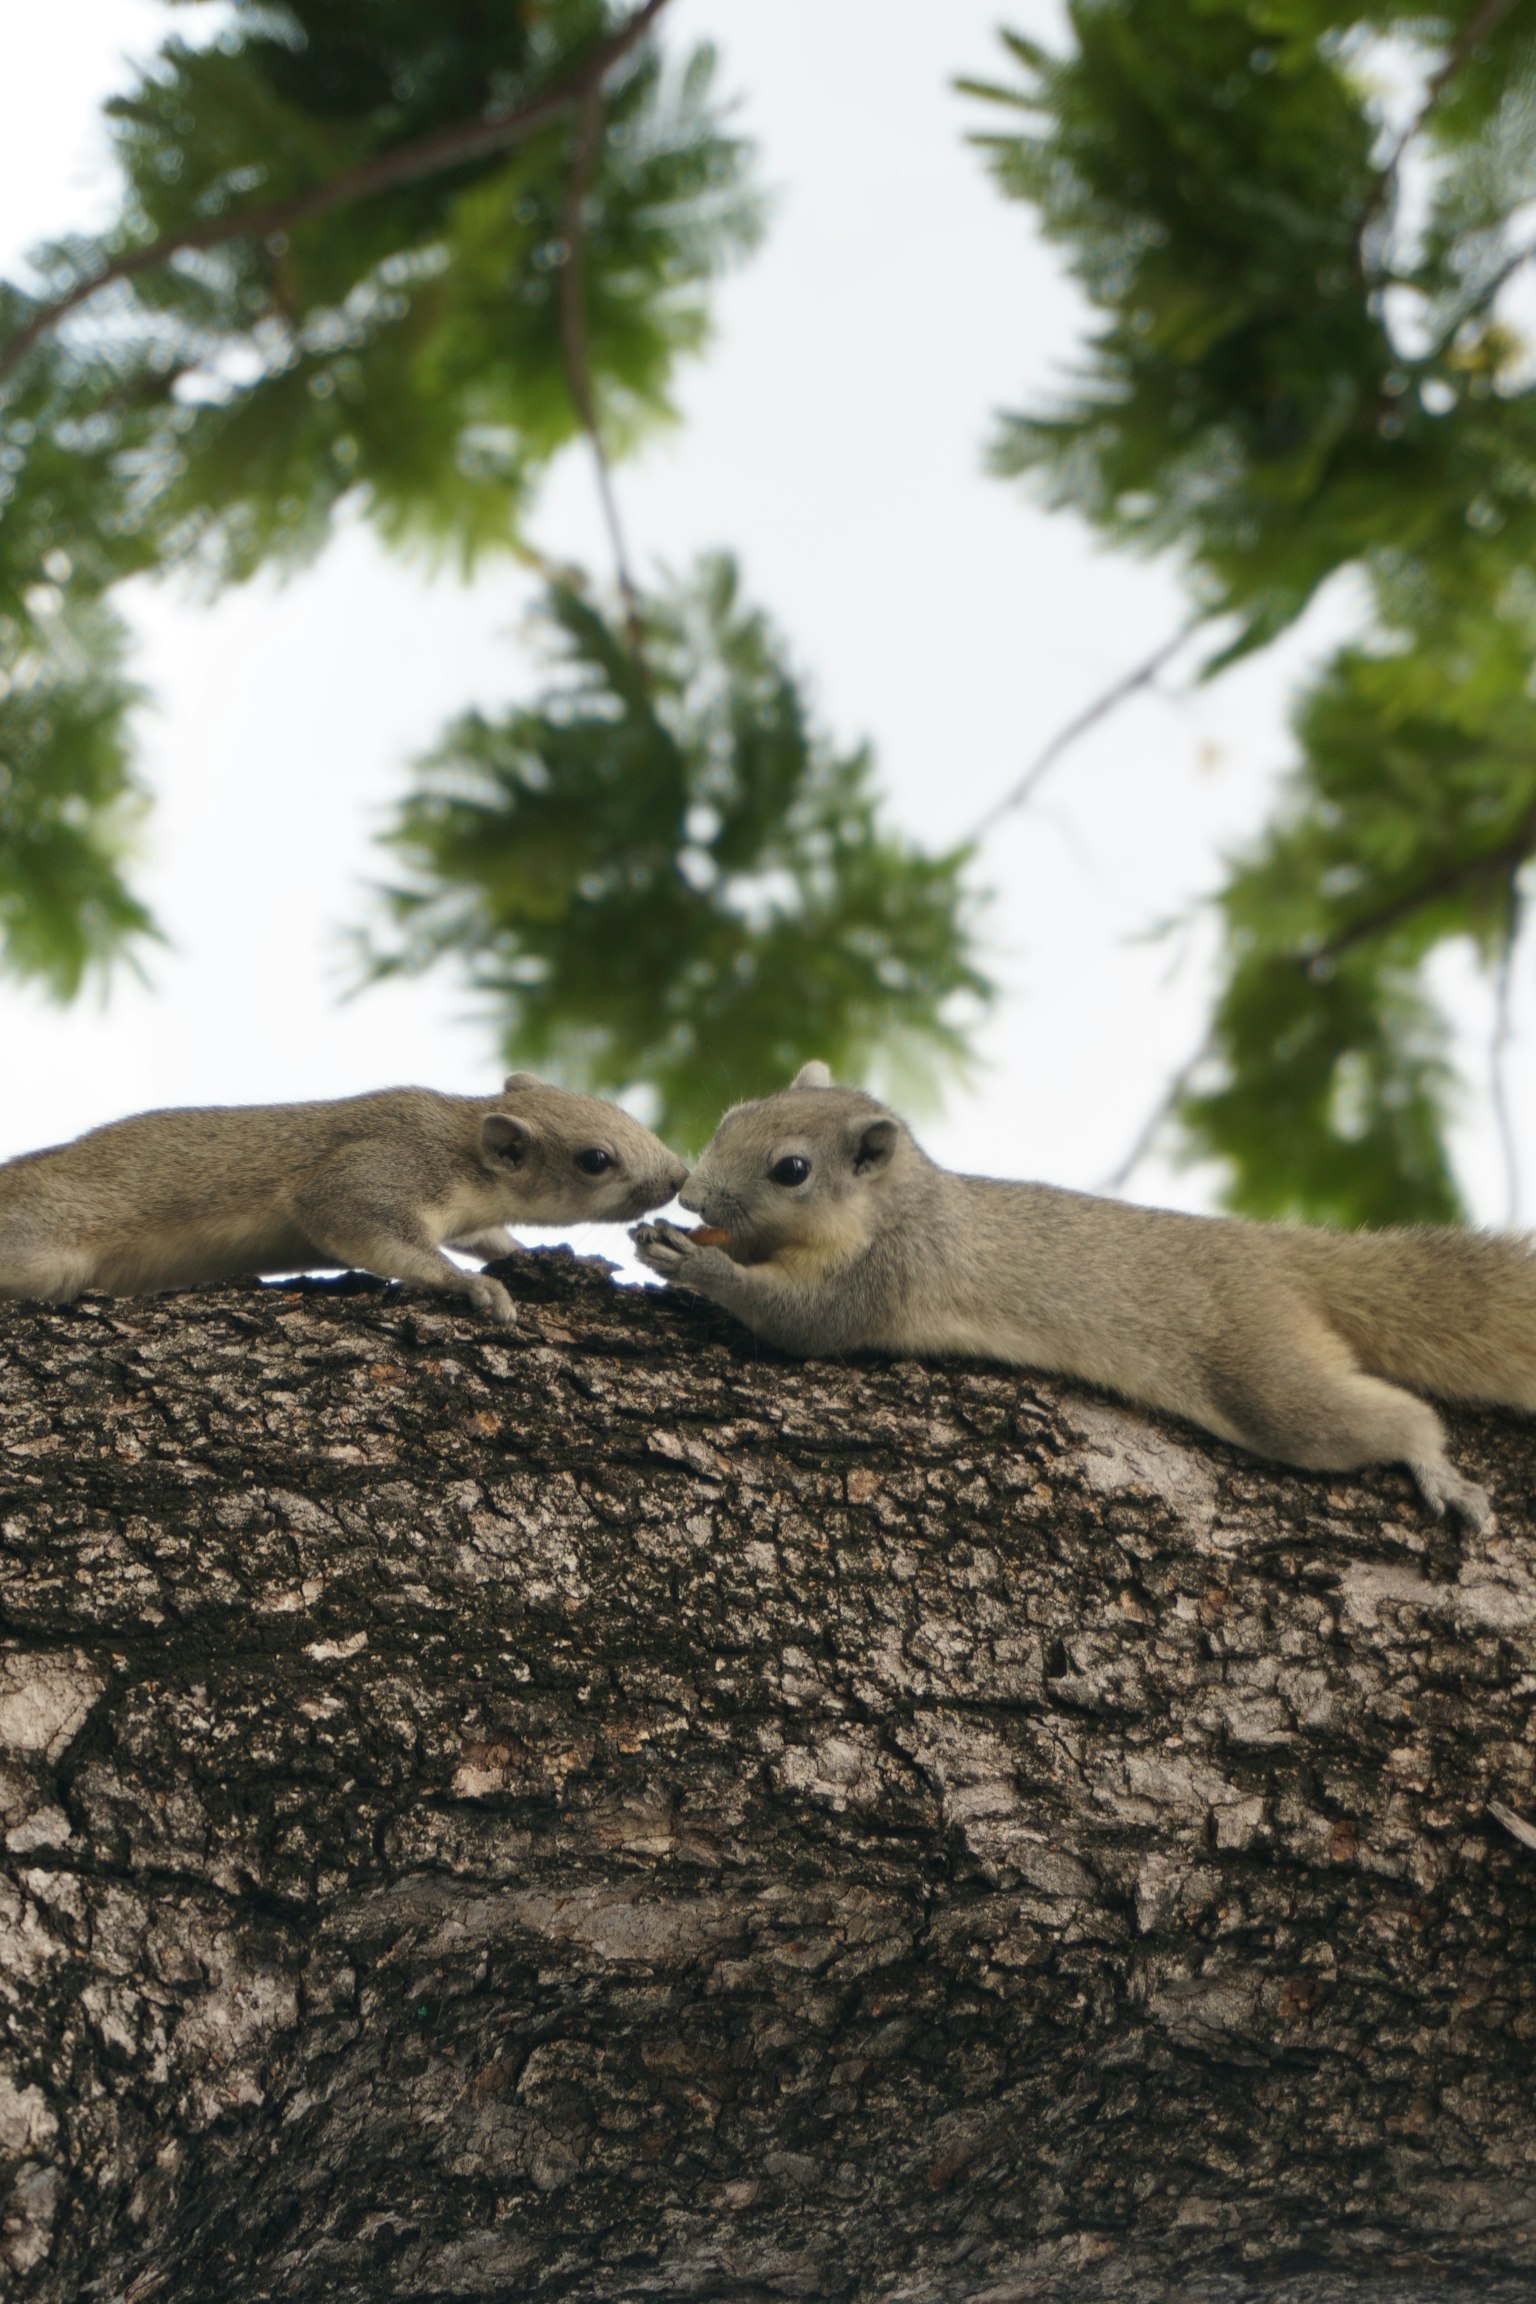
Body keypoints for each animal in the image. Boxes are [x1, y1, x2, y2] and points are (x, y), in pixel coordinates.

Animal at [0, 1076, 686, 1325]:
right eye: (595, 1160)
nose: (679, 1176)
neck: (460, 1147)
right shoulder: (377, 1169)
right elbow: (359, 1220)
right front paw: (473, 1286)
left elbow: (488, 1237)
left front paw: (529, 1252)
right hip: (39, 1245)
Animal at [632, 1062, 1535, 1533]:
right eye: (735, 1113)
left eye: (792, 1169)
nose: (691, 1193)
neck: (900, 1204)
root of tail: (1276, 1257)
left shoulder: (884, 1274)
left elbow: (800, 1325)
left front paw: (698, 1267)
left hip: (1265, 1375)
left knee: (1386, 1418)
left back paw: (1436, 1468)